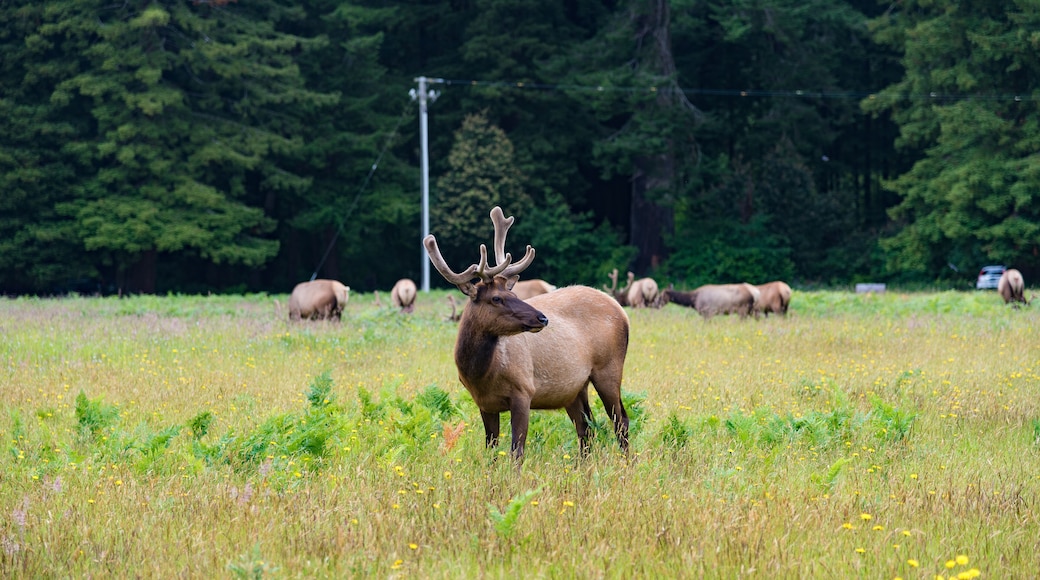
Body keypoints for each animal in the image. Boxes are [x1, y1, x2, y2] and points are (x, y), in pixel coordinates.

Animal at [424, 207, 631, 461]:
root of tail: (621, 310)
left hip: (608, 369)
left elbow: (517, 450)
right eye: (497, 298)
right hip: (573, 388)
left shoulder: (523, 390)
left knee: (620, 420)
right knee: (586, 427)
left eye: (514, 295)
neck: (480, 375)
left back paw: (627, 464)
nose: (542, 318)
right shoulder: (484, 403)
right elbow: (491, 449)